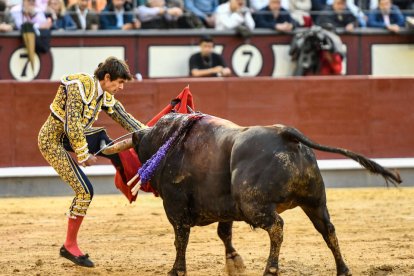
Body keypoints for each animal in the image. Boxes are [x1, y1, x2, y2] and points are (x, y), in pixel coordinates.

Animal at [104, 112, 402, 276]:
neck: (168, 141)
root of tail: (285, 133)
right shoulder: (222, 207)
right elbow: (224, 233)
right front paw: (234, 263)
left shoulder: (175, 207)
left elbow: (181, 240)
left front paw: (177, 270)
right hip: (315, 201)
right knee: (327, 229)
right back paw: (343, 269)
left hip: (253, 204)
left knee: (277, 227)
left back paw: (270, 269)